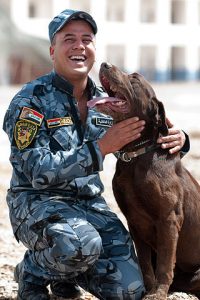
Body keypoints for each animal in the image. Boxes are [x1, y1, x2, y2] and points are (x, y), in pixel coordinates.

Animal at [87, 62, 200, 298]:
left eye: (135, 79)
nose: (104, 64)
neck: (137, 156)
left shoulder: (168, 219)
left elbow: (165, 263)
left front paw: (158, 293)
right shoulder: (135, 222)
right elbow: (145, 264)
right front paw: (149, 289)